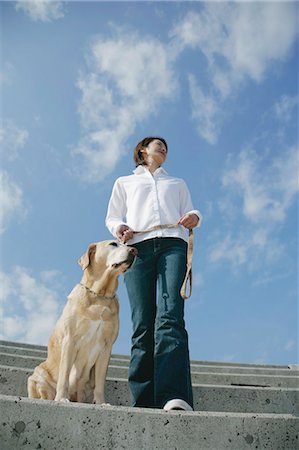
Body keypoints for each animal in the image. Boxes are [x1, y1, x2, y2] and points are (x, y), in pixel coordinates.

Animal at [27, 241, 138, 402]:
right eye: (113, 244)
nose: (134, 250)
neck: (100, 295)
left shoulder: (106, 347)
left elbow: (100, 382)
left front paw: (101, 403)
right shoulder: (70, 340)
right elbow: (64, 375)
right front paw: (61, 398)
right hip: (36, 375)